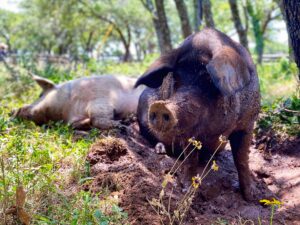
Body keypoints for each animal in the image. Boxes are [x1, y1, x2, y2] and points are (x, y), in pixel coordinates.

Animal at [13, 74, 145, 129]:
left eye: (40, 95)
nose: (13, 111)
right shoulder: (72, 119)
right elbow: (74, 125)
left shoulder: (99, 98)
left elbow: (97, 117)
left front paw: (120, 125)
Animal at [135, 28, 260, 202]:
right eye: (176, 78)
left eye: (209, 80)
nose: (160, 106)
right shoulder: (188, 129)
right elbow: (190, 158)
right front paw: (187, 189)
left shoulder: (248, 122)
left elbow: (242, 158)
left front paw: (252, 197)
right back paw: (160, 150)